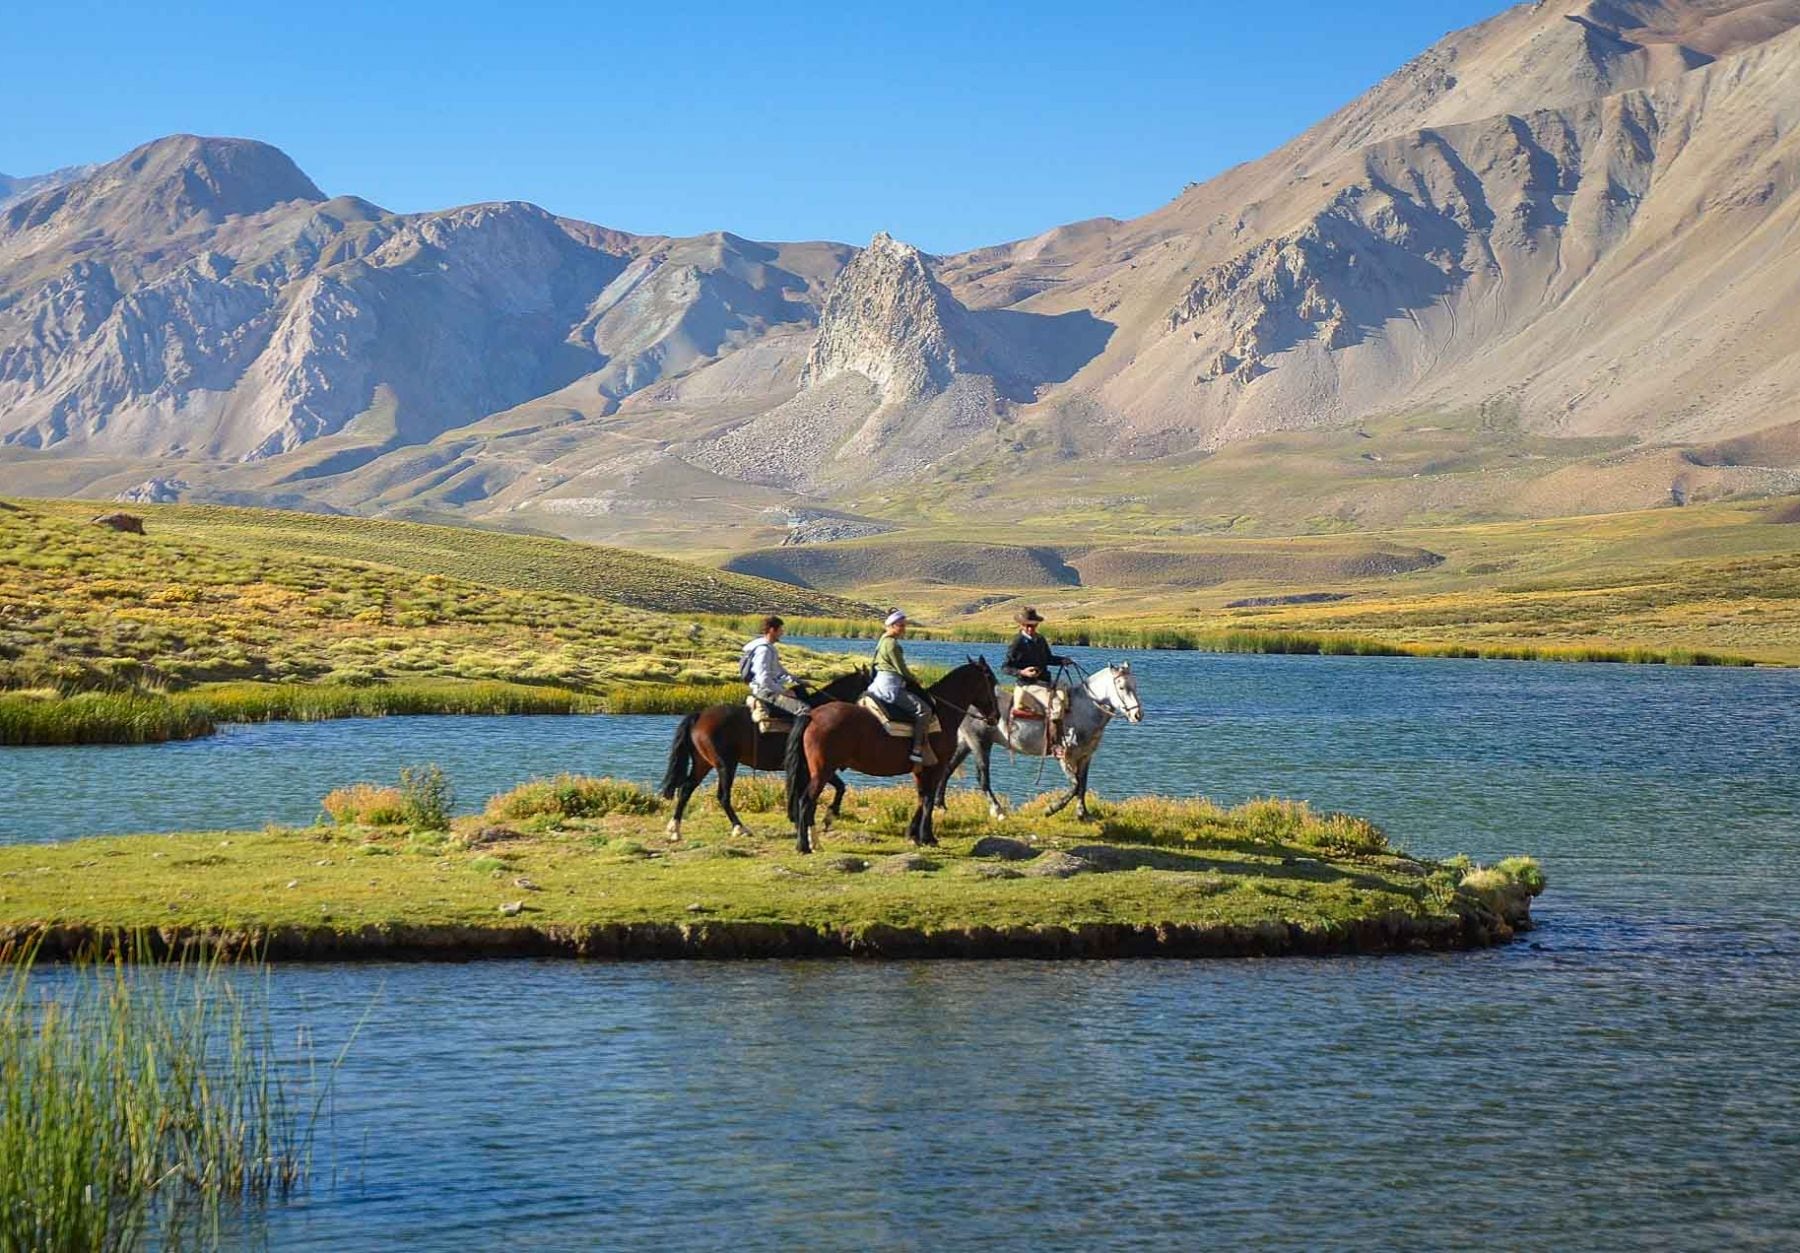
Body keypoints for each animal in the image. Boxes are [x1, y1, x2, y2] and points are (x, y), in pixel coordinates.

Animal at [662, 666, 871, 842]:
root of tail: (699, 715)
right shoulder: (815, 767)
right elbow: (831, 789)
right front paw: (823, 819)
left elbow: (827, 789)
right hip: (725, 765)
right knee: (722, 796)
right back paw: (740, 828)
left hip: (703, 763)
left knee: (686, 789)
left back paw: (675, 830)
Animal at [781, 655, 1000, 853]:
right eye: (991, 681)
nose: (996, 717)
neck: (942, 713)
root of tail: (812, 715)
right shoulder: (936, 767)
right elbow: (928, 800)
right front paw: (928, 837)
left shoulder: (920, 770)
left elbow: (921, 798)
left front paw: (913, 834)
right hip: (822, 771)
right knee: (806, 801)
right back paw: (804, 846)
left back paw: (812, 841)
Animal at [936, 662, 1144, 828]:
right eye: (1121, 687)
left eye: (1135, 685)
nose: (1137, 715)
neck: (1083, 710)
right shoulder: (1065, 756)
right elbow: (1075, 785)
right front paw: (1051, 809)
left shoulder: (1085, 757)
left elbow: (1082, 785)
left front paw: (1083, 814)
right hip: (979, 742)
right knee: (982, 778)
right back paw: (998, 811)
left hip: (966, 743)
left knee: (947, 769)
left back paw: (940, 805)